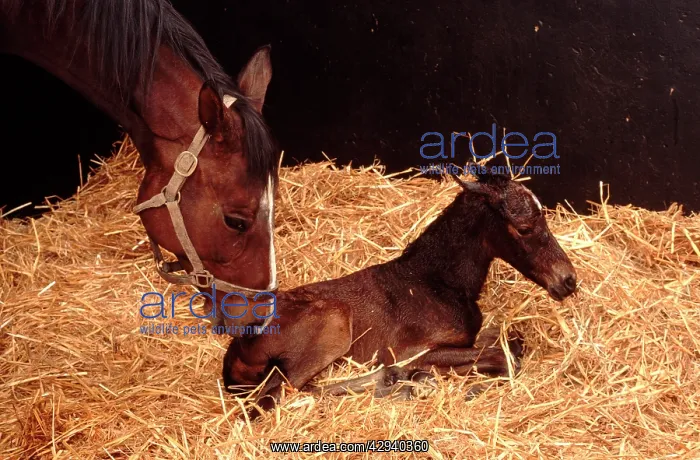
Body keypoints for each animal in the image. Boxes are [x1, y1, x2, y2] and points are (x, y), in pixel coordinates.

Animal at [222, 171, 578, 418]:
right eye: (524, 229)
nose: (568, 280)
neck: (436, 282)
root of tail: (238, 345)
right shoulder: (416, 350)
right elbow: (504, 358)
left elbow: (510, 342)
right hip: (333, 325)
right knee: (277, 396)